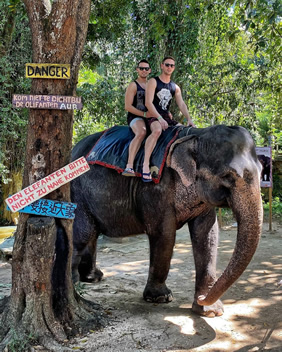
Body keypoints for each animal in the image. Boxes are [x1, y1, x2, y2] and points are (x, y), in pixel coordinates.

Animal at [70, 125, 262, 318]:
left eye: (262, 171)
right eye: (228, 176)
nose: (203, 298)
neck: (197, 135)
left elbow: (208, 234)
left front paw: (210, 312)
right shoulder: (155, 188)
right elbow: (164, 234)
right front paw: (161, 297)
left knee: (92, 234)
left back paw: (93, 277)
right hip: (77, 192)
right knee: (82, 234)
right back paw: (74, 282)